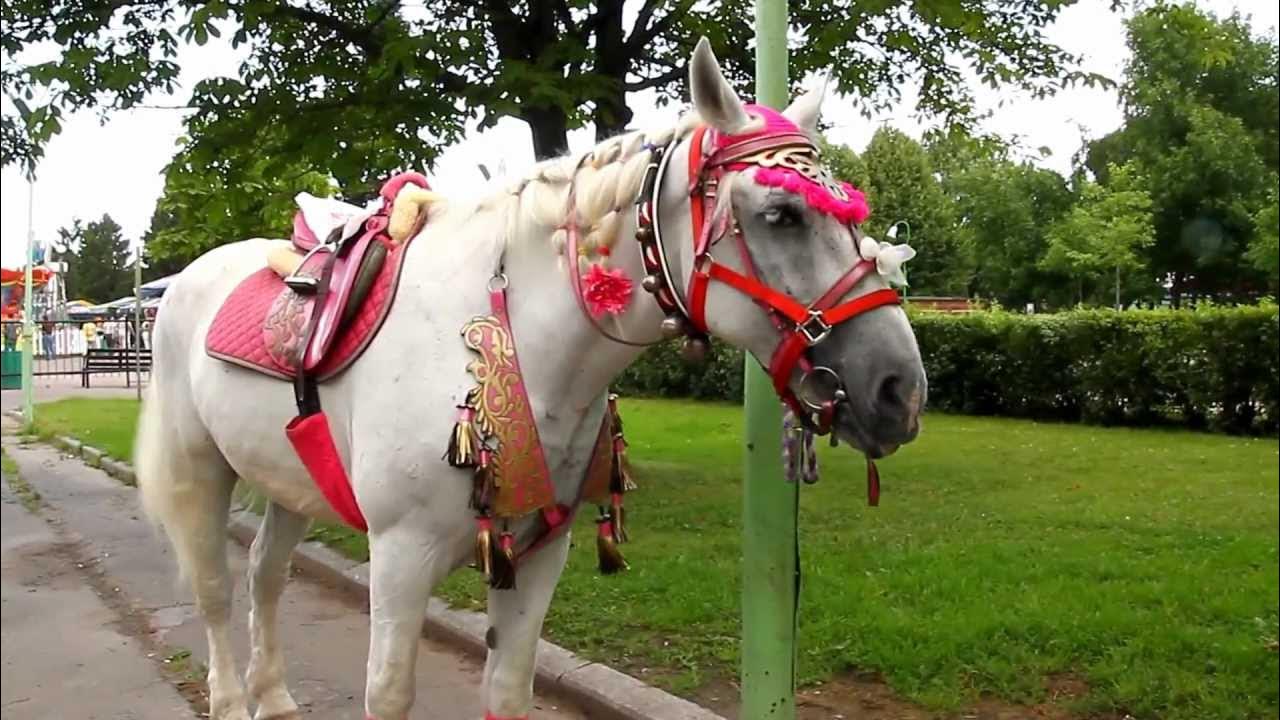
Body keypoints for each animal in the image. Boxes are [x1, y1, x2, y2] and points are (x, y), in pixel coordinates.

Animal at [137, 40, 921, 717]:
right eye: (781, 213)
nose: (900, 389)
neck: (514, 346)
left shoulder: (539, 556)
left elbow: (509, 691)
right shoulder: (398, 558)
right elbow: (387, 694)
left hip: (288, 482)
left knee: (266, 573)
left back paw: (273, 697)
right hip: (200, 470)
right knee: (215, 589)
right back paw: (231, 699)